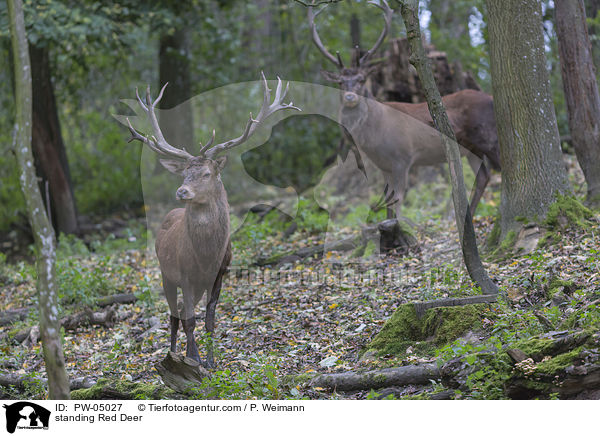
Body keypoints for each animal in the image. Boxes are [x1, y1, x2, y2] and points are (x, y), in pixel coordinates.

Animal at [125, 75, 298, 368]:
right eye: (184, 173)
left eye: (206, 173)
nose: (182, 191)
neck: (206, 254)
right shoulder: (185, 274)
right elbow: (191, 320)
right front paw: (193, 358)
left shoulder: (219, 273)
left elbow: (209, 320)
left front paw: (210, 360)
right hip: (165, 272)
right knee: (174, 313)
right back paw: (173, 352)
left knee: (179, 311)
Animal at [308, 0, 500, 218]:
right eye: (340, 82)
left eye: (362, 79)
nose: (350, 97)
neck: (375, 134)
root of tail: (491, 98)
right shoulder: (383, 165)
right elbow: (388, 201)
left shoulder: (403, 157)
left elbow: (398, 201)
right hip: (471, 149)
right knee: (484, 176)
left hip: (488, 138)